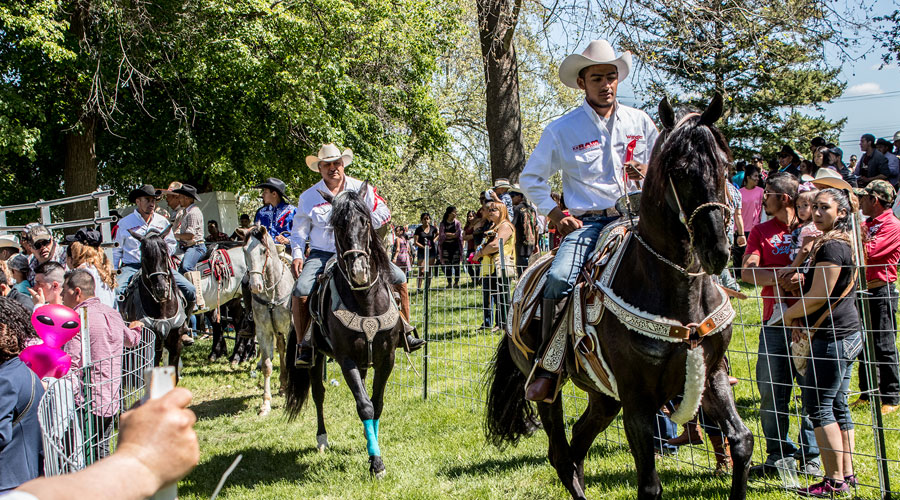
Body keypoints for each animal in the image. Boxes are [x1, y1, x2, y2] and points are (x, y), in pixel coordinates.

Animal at [243, 229, 292, 416]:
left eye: (263, 251)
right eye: (244, 251)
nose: (255, 286)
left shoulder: (291, 329)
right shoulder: (263, 332)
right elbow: (266, 366)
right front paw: (265, 404)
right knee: (281, 349)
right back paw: (283, 385)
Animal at [286, 182, 402, 478]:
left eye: (365, 221)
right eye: (336, 225)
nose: (359, 270)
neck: (365, 301)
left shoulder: (387, 358)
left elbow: (376, 404)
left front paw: (373, 453)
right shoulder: (345, 359)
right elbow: (364, 406)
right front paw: (377, 463)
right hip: (315, 359)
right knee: (318, 394)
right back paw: (322, 439)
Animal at [486, 94, 752, 500]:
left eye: (726, 165)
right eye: (678, 168)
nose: (718, 250)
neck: (677, 295)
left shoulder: (713, 375)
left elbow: (741, 441)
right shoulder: (637, 400)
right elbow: (650, 486)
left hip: (604, 397)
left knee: (578, 442)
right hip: (552, 391)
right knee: (560, 454)